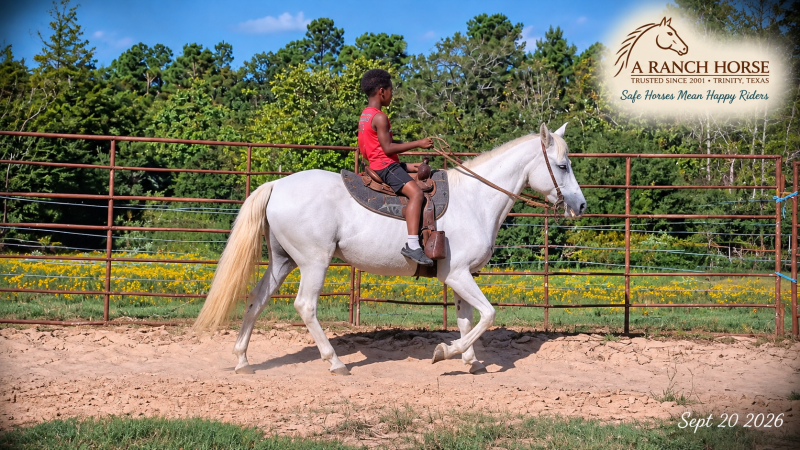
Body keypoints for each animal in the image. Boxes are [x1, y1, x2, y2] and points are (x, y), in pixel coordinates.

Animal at [192, 122, 586, 376]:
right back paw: (335, 362)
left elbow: (466, 319)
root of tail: (276, 185)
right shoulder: (458, 274)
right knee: (305, 306)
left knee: (256, 299)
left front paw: (471, 361)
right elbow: (488, 315)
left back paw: (243, 360)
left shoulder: (460, 277)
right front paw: (446, 353)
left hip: (282, 260)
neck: (476, 199)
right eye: (562, 165)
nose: (580, 206)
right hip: (313, 262)